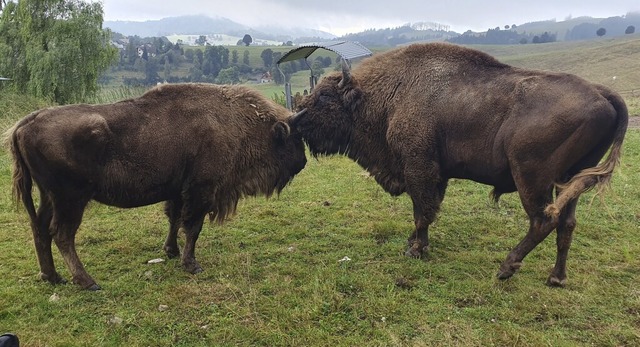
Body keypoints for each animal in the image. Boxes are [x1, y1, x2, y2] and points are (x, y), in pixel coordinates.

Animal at [6, 83, 308, 290]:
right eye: (294, 139)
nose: (303, 162)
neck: (234, 121)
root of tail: (25, 124)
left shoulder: (177, 190)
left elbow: (174, 220)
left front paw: (170, 251)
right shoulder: (201, 190)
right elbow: (192, 227)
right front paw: (191, 264)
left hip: (48, 196)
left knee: (40, 229)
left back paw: (52, 277)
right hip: (71, 199)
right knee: (61, 234)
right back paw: (87, 281)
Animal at [296, 42, 632, 288]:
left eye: (325, 96)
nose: (298, 118)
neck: (389, 94)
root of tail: (601, 93)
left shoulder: (419, 168)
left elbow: (422, 211)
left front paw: (416, 249)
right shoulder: (437, 174)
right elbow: (427, 209)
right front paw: (413, 244)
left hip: (532, 177)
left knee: (543, 220)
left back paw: (506, 268)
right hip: (569, 180)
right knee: (567, 224)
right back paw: (556, 278)